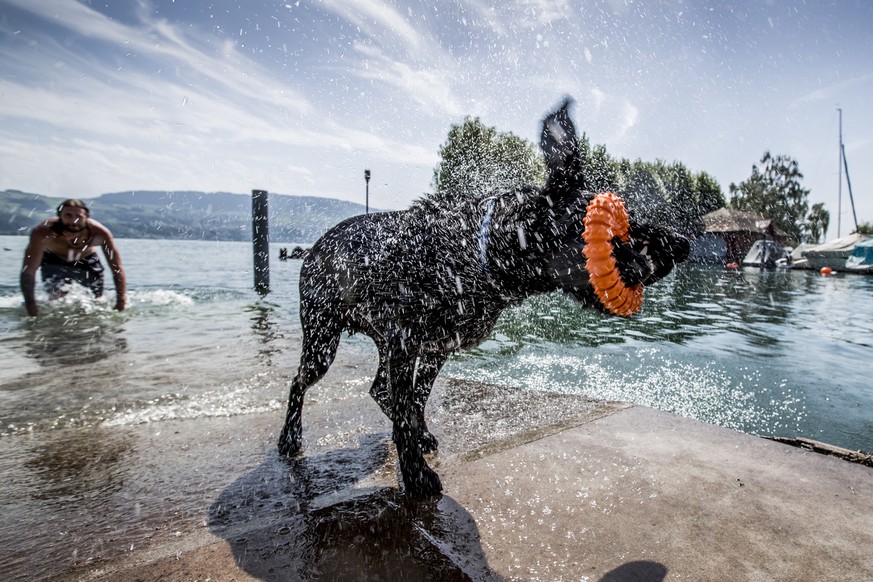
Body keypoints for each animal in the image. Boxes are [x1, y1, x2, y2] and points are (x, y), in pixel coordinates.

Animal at [280, 100, 688, 498]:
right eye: (616, 223)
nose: (682, 244)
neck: (478, 250)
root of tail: (314, 247)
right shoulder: (405, 343)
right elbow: (405, 411)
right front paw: (416, 476)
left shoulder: (435, 347)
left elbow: (413, 403)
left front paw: (416, 444)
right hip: (322, 342)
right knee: (300, 382)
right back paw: (289, 437)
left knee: (380, 389)